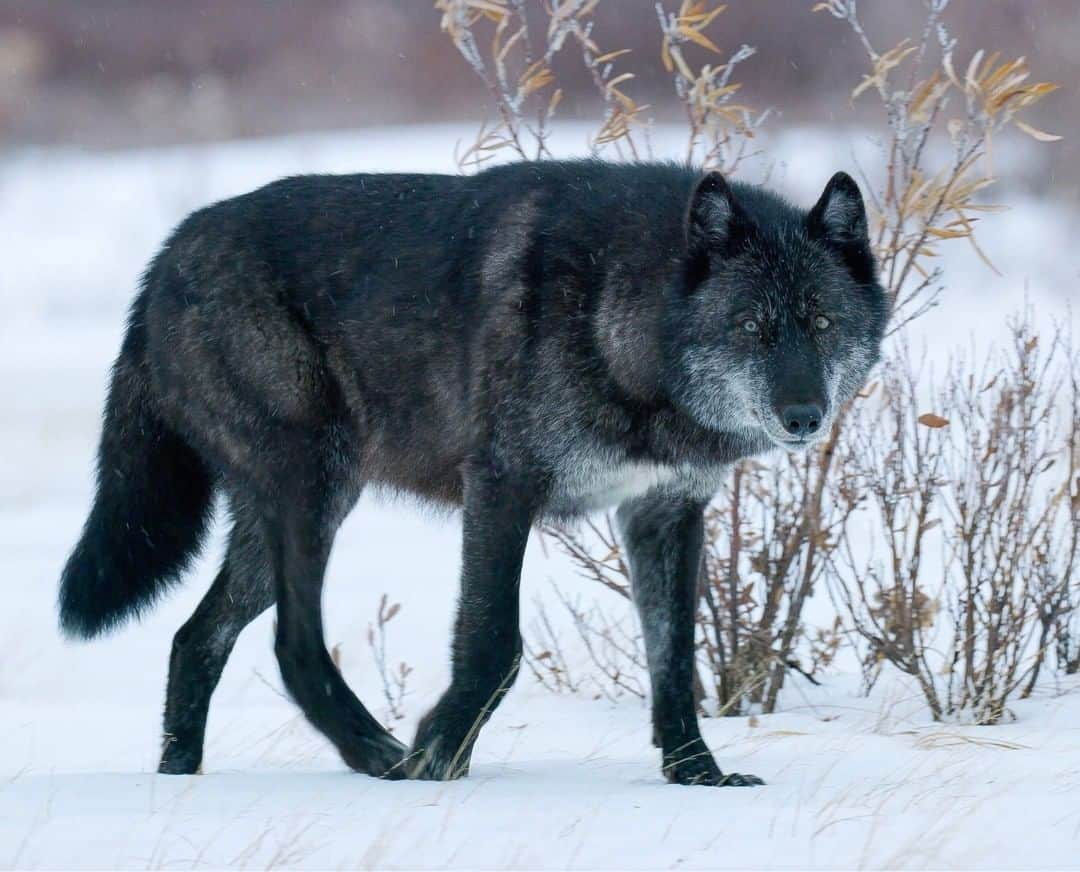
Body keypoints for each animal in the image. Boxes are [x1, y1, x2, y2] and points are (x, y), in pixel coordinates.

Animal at [59, 159, 885, 786]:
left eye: (821, 322)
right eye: (750, 327)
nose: (804, 415)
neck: (618, 321)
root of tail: (164, 258)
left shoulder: (664, 513)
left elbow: (675, 659)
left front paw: (697, 776)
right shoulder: (502, 489)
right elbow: (493, 644)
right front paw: (438, 756)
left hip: (284, 524)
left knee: (192, 640)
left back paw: (181, 781)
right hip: (312, 493)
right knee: (292, 645)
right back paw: (378, 755)